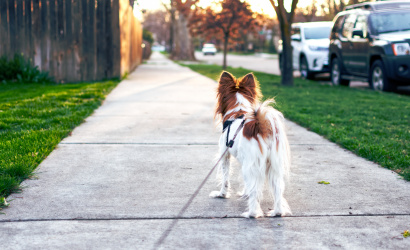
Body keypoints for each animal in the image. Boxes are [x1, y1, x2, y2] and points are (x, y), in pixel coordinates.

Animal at [211, 71, 292, 218]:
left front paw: (222, 194)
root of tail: (261, 126)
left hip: (253, 164)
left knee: (255, 191)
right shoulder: (246, 161)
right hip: (273, 166)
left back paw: (251, 213)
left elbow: (225, 178)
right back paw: (277, 212)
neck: (238, 111)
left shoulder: (225, 155)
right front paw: (245, 193)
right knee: (278, 189)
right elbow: (245, 183)